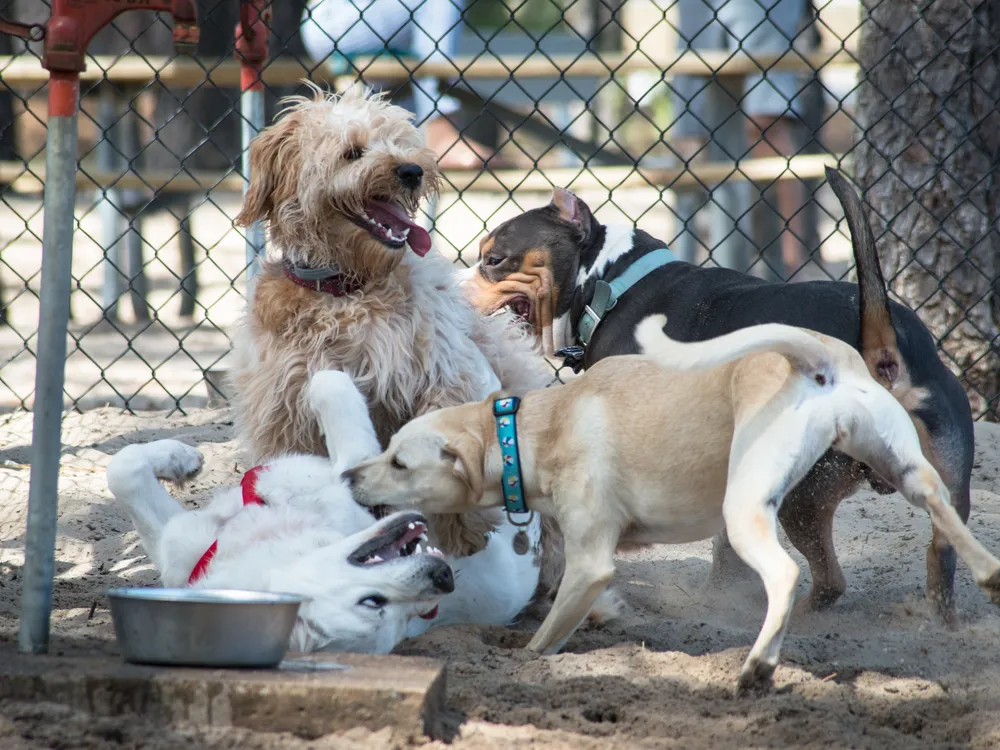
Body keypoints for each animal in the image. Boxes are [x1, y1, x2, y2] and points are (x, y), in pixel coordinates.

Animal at [229, 85, 556, 568]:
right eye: (352, 152)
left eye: (400, 142)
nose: (412, 170)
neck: (345, 290)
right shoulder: (283, 410)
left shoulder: (442, 372)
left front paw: (462, 530)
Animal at [344, 316, 1000, 692]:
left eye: (399, 461)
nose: (349, 475)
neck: (527, 429)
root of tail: (816, 361)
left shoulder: (590, 563)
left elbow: (545, 637)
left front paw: (524, 661)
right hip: (905, 468)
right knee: (942, 510)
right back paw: (990, 575)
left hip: (748, 510)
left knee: (785, 576)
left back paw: (757, 668)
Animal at [462, 169, 976, 628]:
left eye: (494, 259)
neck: (609, 282)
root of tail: (877, 347)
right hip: (945, 483)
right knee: (939, 553)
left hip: (803, 493)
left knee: (831, 581)